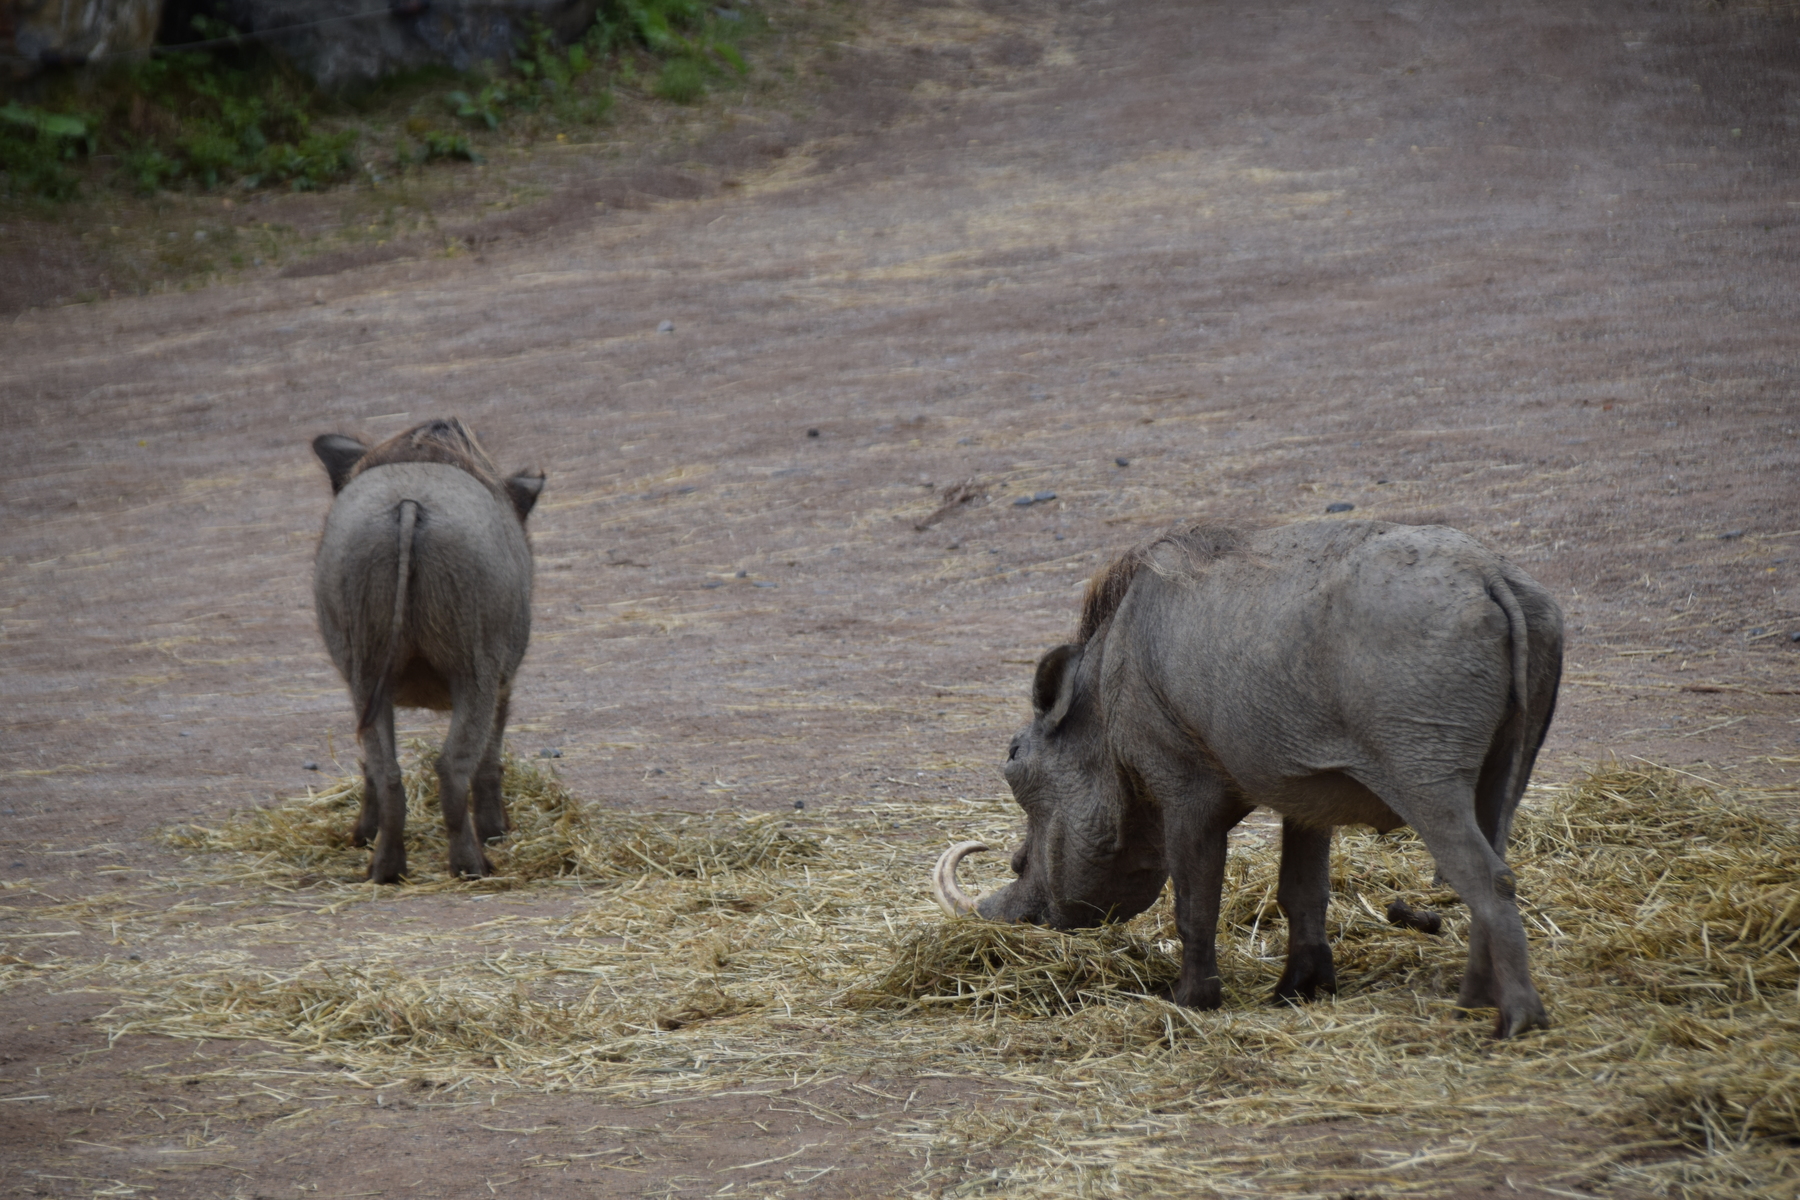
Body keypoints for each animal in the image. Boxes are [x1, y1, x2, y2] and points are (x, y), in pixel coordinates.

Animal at [311, 419, 544, 883]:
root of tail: (408, 505)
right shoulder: (503, 682)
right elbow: (490, 756)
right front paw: (498, 832)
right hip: (476, 671)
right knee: (455, 766)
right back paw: (474, 866)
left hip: (365, 672)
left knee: (384, 770)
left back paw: (384, 869)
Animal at [933, 521, 1563, 1038]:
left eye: (1015, 760)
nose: (1005, 922)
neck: (1107, 701)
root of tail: (1490, 573)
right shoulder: (1309, 795)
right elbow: (1302, 892)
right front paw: (1297, 992)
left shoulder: (1184, 788)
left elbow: (1195, 902)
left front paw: (1191, 1000)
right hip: (1508, 766)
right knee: (1494, 870)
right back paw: (1469, 1004)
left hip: (1427, 778)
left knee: (1487, 879)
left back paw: (1514, 1021)